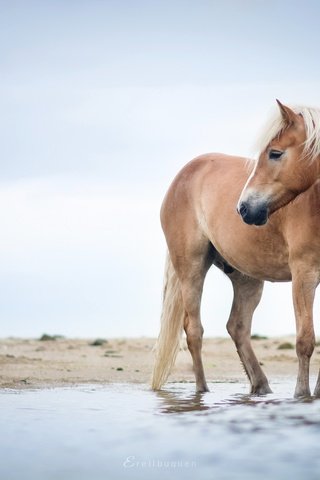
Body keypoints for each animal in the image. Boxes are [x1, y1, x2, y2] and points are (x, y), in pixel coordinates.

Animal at [151, 100, 320, 398]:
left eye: (275, 153)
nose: (243, 208)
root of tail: (185, 173)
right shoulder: (304, 274)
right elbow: (305, 339)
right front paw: (302, 395)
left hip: (246, 278)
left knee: (237, 327)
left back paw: (261, 386)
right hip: (191, 268)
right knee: (194, 330)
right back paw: (202, 391)